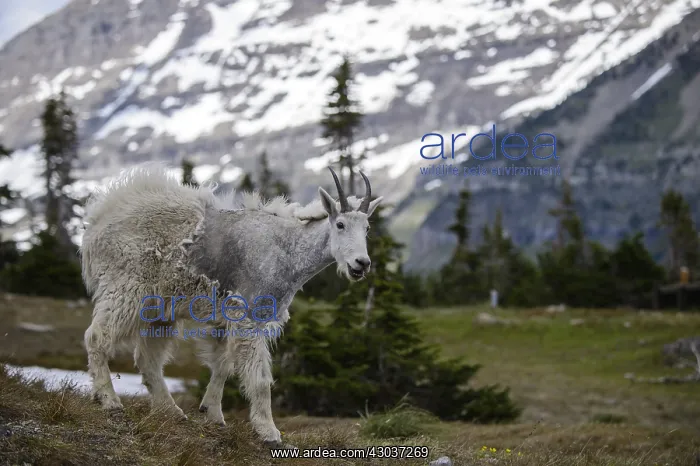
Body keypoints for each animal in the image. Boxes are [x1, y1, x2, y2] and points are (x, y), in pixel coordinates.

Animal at [80, 163, 382, 447]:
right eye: (340, 224)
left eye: (367, 228)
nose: (361, 264)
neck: (287, 252)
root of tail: (97, 222)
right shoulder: (248, 316)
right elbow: (260, 380)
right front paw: (268, 432)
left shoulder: (226, 321)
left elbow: (222, 367)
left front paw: (213, 414)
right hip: (126, 290)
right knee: (97, 336)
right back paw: (109, 401)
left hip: (161, 308)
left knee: (148, 358)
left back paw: (171, 411)